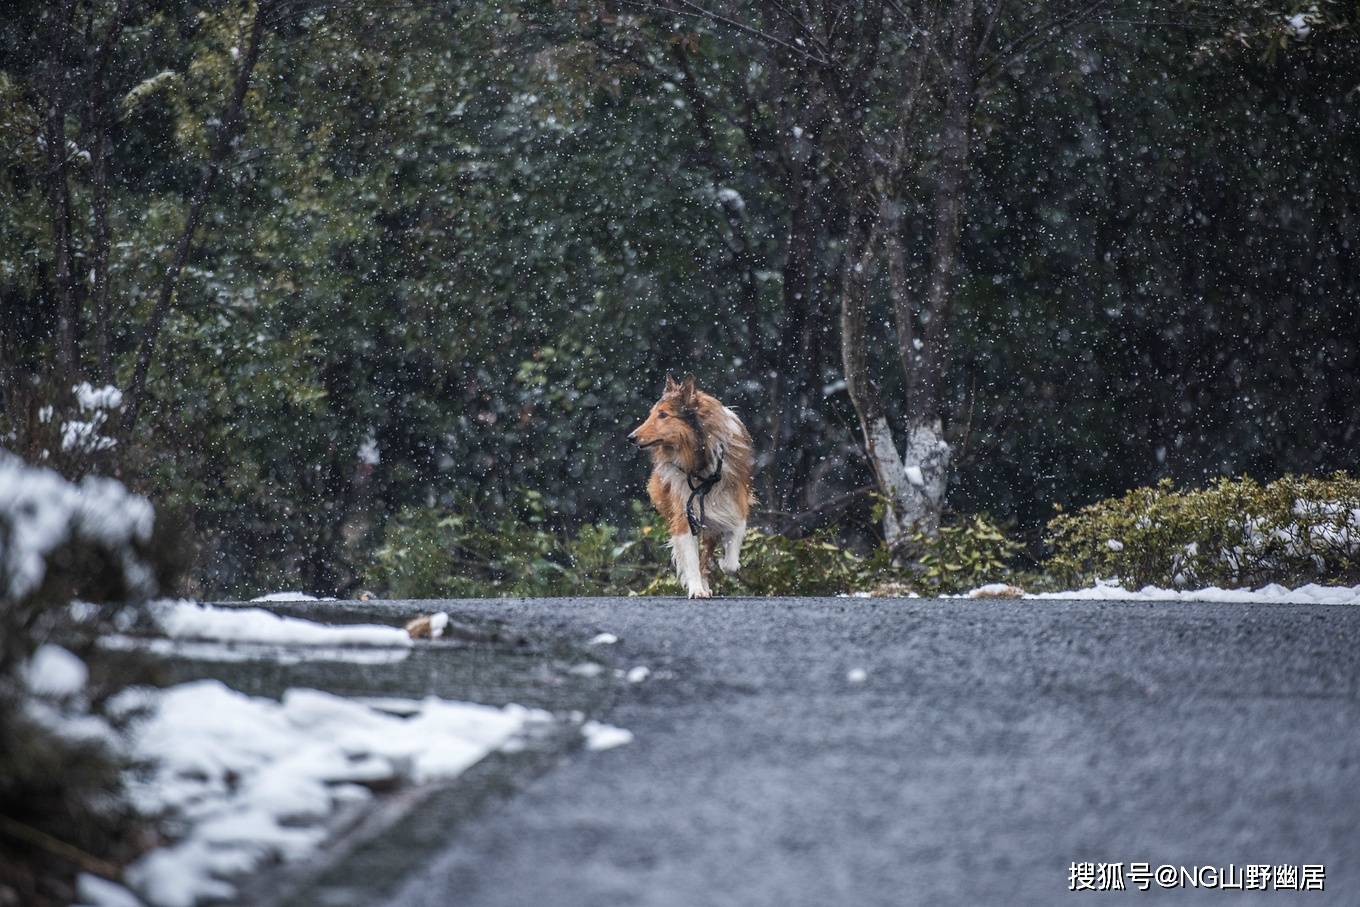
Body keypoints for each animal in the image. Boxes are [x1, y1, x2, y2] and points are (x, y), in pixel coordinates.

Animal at [628, 375, 756, 595]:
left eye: (663, 415)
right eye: (652, 414)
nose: (631, 437)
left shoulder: (735, 504)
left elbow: (731, 560)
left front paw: (724, 564)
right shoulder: (684, 511)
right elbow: (690, 557)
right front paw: (697, 589)